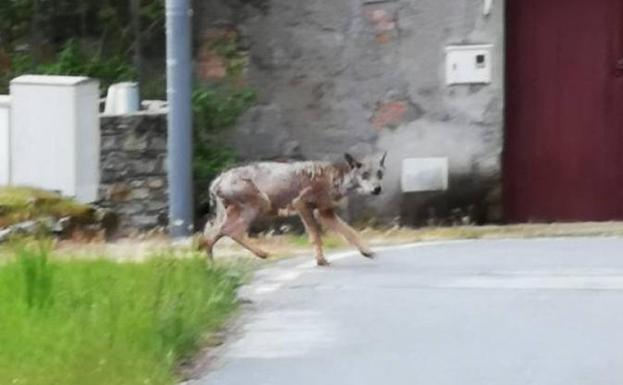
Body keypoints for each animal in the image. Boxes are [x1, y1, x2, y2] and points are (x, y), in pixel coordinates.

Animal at [200, 152, 388, 266]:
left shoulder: (325, 211)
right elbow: (315, 235)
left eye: (380, 173)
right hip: (259, 202)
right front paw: (321, 261)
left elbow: (349, 231)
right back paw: (264, 254)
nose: (377, 189)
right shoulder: (301, 203)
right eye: (364, 174)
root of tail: (215, 182)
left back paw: (212, 264)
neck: (335, 183)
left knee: (213, 232)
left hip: (229, 210)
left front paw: (368, 252)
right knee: (230, 230)